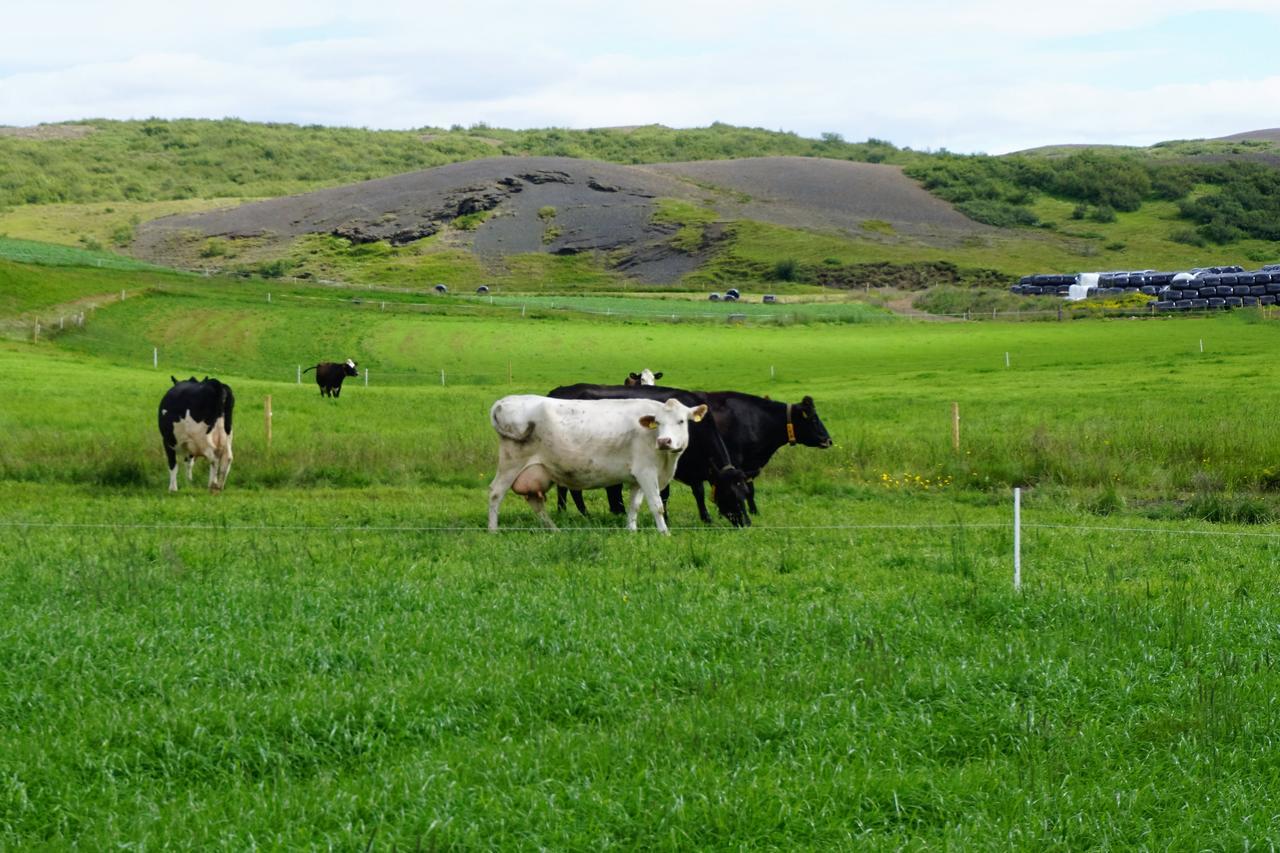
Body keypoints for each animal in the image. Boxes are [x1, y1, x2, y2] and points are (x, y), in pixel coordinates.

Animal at [488, 394, 711, 532]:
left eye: (681, 421)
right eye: (658, 423)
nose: (664, 441)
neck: (667, 462)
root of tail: (505, 401)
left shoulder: (637, 479)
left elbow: (634, 506)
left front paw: (631, 531)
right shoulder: (646, 472)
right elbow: (657, 506)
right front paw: (664, 533)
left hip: (538, 470)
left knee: (535, 501)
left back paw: (555, 530)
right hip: (511, 464)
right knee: (495, 493)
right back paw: (493, 530)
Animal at [547, 379, 747, 525]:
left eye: (745, 494)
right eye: (730, 494)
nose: (746, 523)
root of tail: (557, 392)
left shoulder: (693, 466)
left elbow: (698, 491)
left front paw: (706, 518)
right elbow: (665, 494)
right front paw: (667, 518)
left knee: (563, 487)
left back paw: (564, 510)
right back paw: (582, 513)